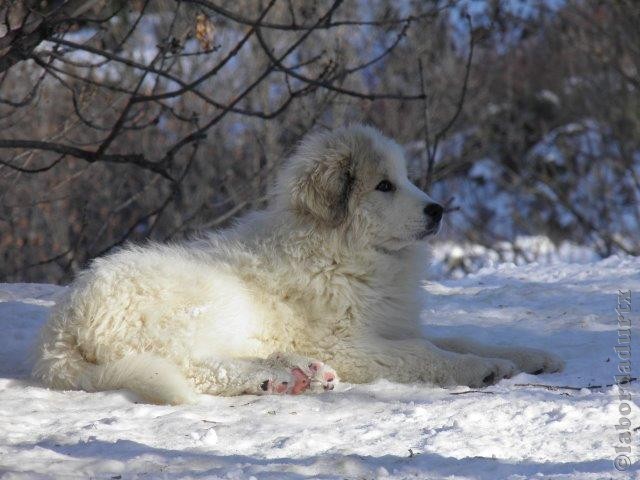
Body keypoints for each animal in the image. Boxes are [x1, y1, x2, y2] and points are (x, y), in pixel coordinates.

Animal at [32, 125, 564, 404]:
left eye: (406, 178)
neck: (341, 250)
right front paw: (484, 369)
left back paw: (296, 372)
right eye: (384, 185)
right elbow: (425, 354)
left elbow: (457, 337)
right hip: (189, 310)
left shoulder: (390, 325)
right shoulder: (349, 344)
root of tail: (59, 332)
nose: (438, 211)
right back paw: (279, 377)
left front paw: (528, 355)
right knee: (194, 367)